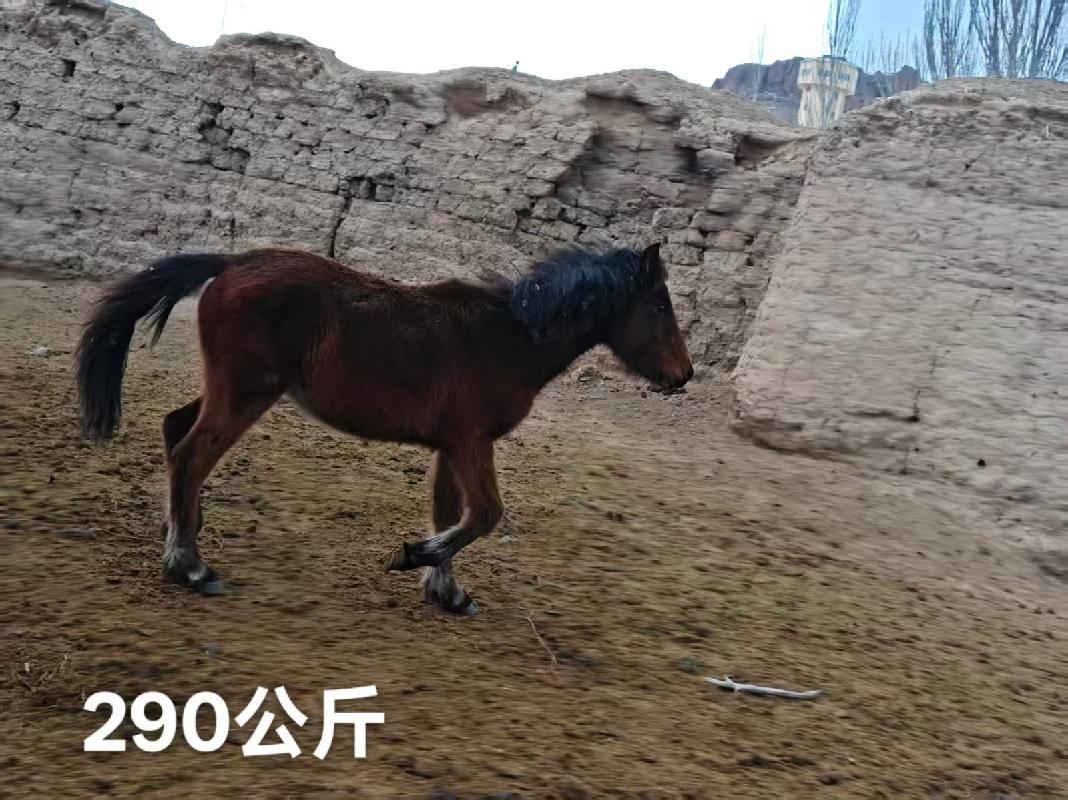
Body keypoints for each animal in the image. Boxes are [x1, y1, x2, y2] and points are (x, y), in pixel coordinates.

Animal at [75, 243, 693, 614]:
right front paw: (412, 557)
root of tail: (233, 261)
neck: (509, 337)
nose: (684, 375)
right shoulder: (471, 440)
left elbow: (452, 513)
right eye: (659, 305)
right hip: (246, 393)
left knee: (176, 431)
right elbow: (484, 515)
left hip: (237, 391)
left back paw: (181, 534)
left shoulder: (452, 445)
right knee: (190, 454)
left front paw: (447, 592)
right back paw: (190, 566)